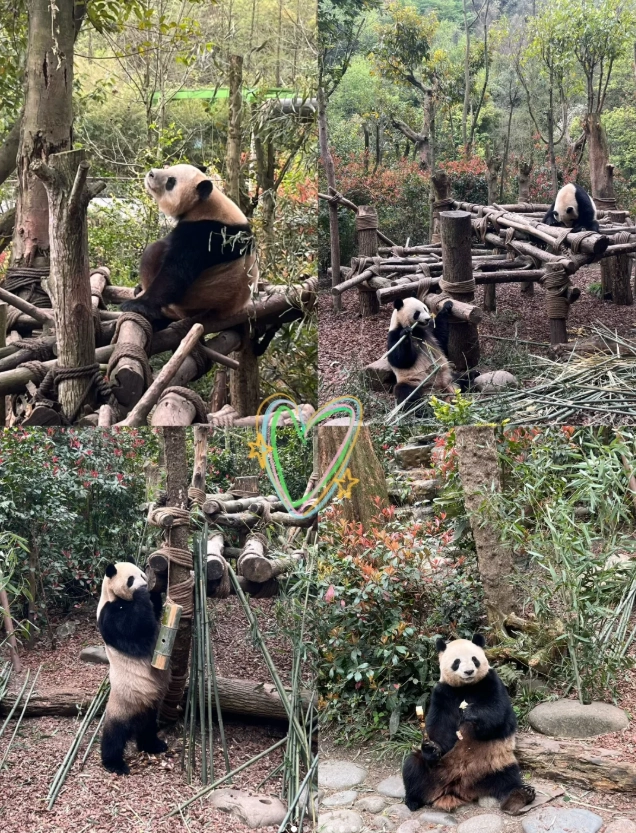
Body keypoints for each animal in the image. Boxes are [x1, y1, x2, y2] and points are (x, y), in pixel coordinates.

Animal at [97, 562, 169, 775]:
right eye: (131, 579)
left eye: (143, 576)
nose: (145, 585)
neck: (113, 596)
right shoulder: (109, 614)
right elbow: (133, 628)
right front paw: (142, 595)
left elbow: (154, 614)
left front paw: (156, 592)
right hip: (123, 704)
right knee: (114, 735)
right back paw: (115, 764)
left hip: (149, 707)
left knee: (148, 728)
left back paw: (154, 745)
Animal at [121, 164, 258, 325]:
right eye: (168, 168)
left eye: (171, 182)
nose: (151, 173)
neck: (204, 205)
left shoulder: (203, 234)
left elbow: (175, 272)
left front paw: (138, 304)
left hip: (193, 301)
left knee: (154, 251)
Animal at [402, 635, 535, 815]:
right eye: (456, 662)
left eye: (474, 659)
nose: (469, 672)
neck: (466, 686)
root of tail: (458, 787)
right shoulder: (443, 693)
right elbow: (440, 727)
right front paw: (432, 747)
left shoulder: (491, 682)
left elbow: (498, 712)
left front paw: (470, 713)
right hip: (435, 769)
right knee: (413, 768)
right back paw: (413, 800)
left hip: (495, 764)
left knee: (509, 779)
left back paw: (520, 796)